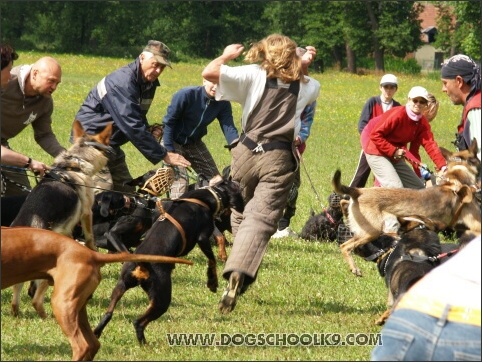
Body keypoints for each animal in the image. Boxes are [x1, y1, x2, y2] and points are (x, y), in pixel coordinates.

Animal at [10, 120, 114, 318]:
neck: (75, 163)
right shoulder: (87, 213)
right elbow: (90, 238)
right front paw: (93, 250)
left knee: (16, 294)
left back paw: (17, 313)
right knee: (36, 299)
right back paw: (45, 317)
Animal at [93, 180, 245, 346]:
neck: (205, 197)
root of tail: (141, 265)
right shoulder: (203, 237)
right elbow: (212, 260)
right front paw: (212, 282)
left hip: (121, 286)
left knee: (108, 313)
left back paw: (97, 332)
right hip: (162, 298)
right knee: (138, 322)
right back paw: (145, 344)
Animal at [334, 140, 480, 276]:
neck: (454, 181)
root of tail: (359, 191)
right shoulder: (475, 224)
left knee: (344, 205)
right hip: (371, 231)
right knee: (345, 246)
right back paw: (354, 268)